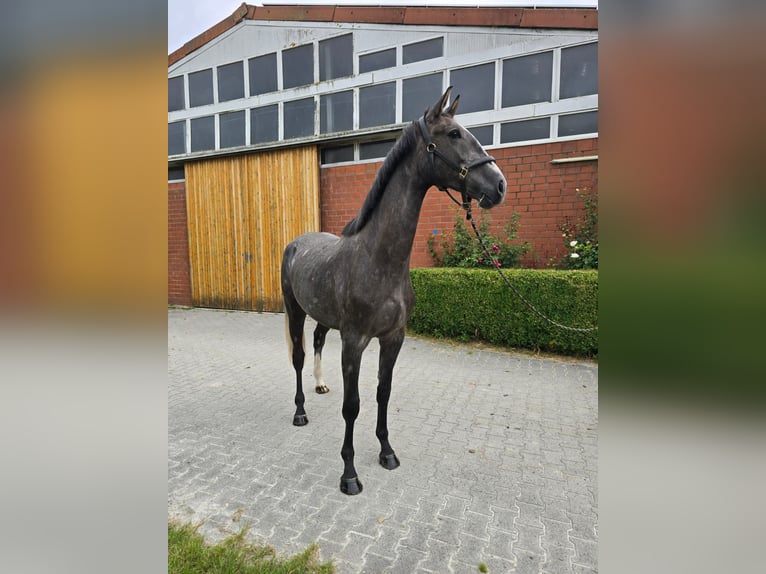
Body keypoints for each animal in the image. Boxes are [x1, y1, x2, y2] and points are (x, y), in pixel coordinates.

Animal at [280, 87, 506, 495]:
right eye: (453, 134)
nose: (498, 186)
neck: (378, 259)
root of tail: (296, 243)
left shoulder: (393, 338)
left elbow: (382, 393)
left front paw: (387, 452)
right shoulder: (354, 341)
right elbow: (352, 405)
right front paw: (349, 473)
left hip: (323, 316)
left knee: (318, 341)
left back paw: (321, 386)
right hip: (295, 311)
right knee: (300, 357)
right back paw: (301, 411)